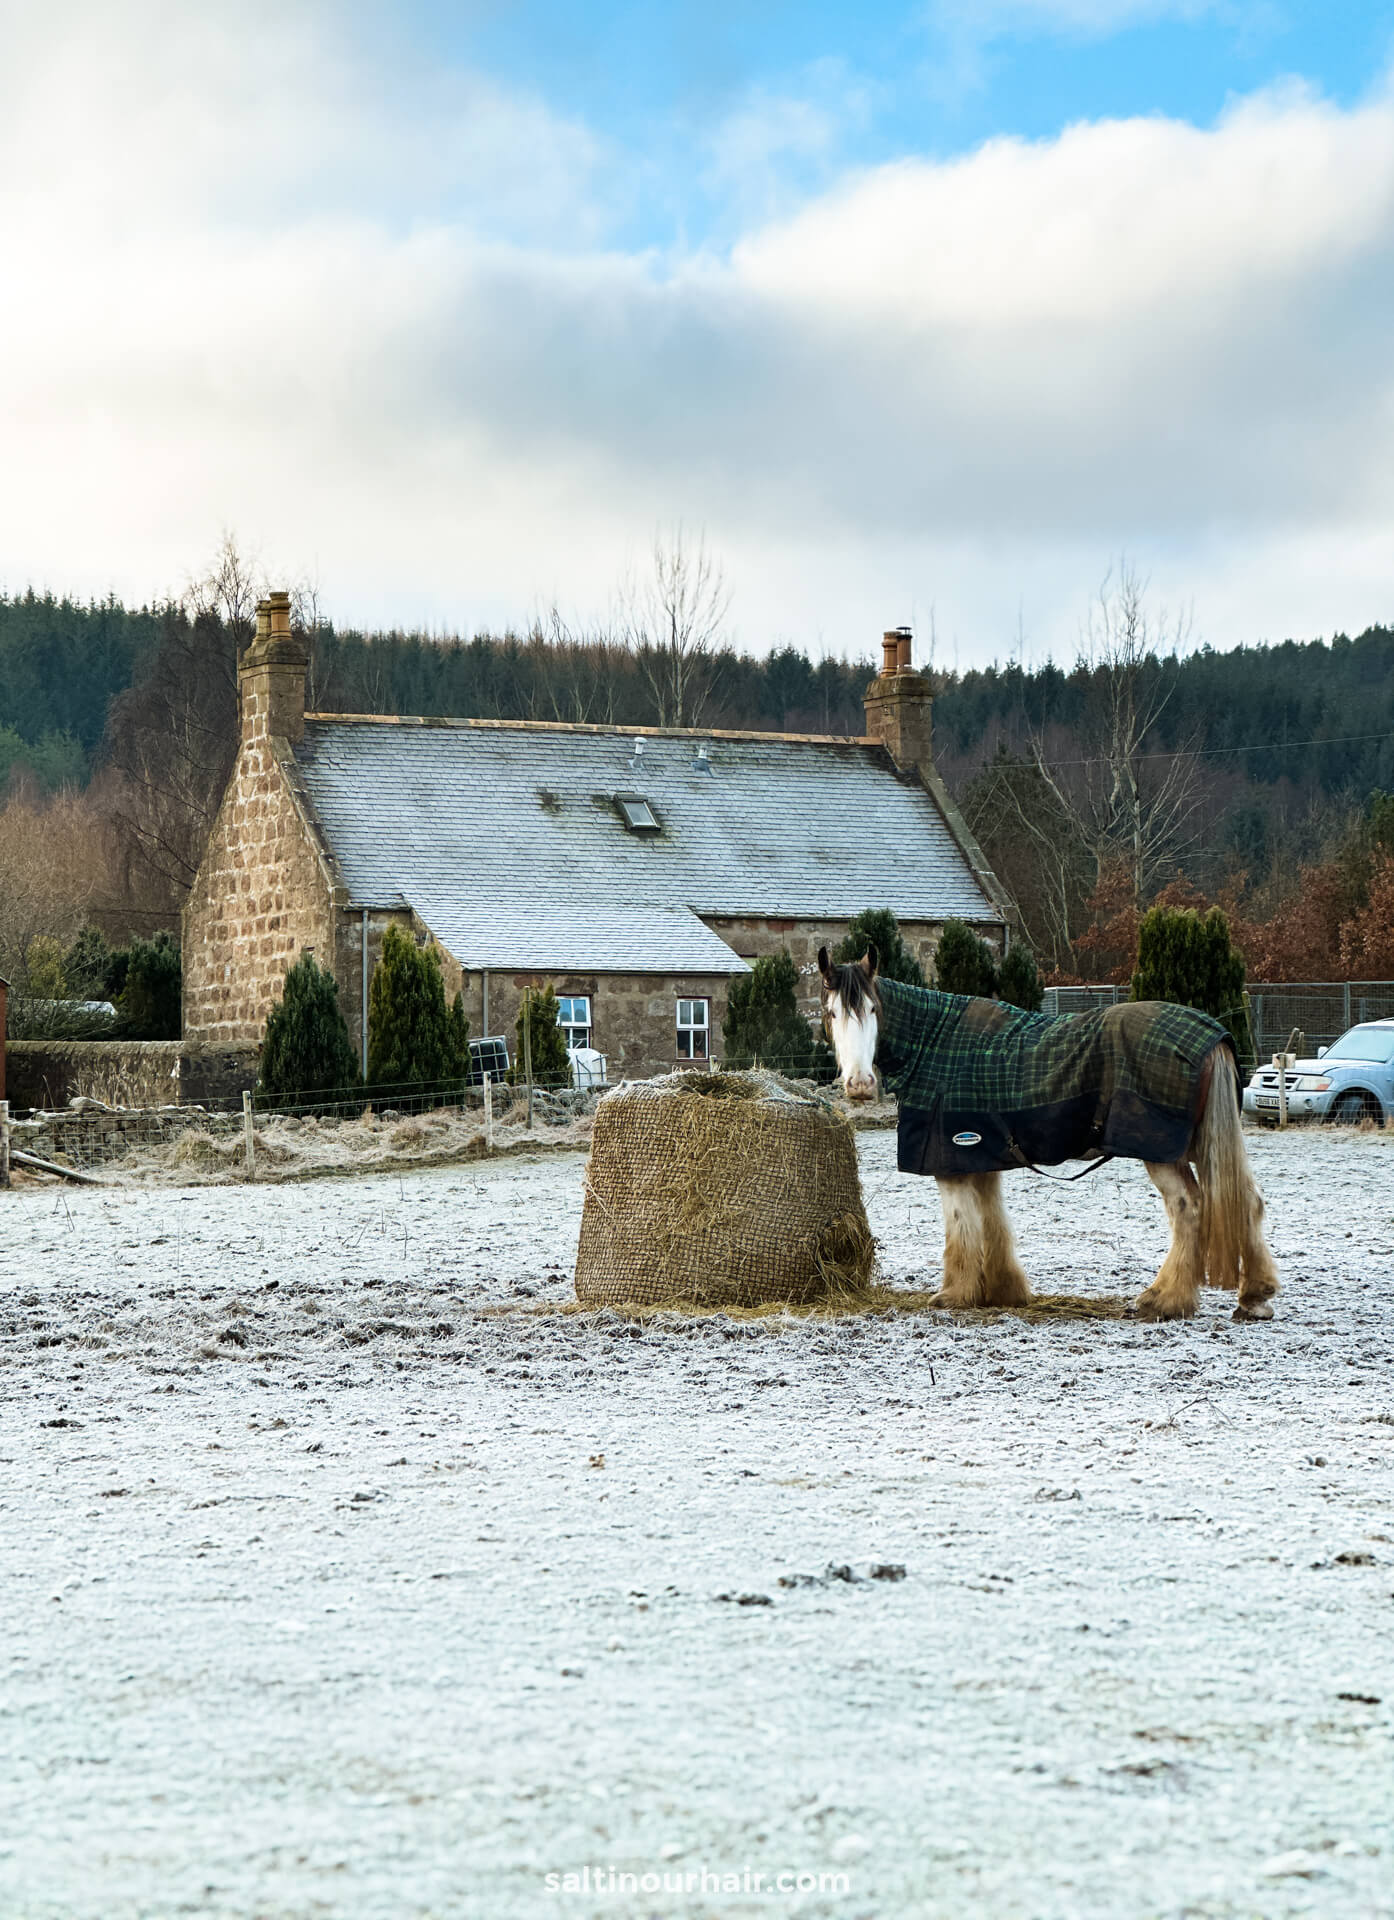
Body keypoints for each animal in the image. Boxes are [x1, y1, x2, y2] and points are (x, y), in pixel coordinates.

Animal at [817, 944, 1290, 1320]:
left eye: (873, 1010)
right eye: (832, 1013)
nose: (859, 1084)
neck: (938, 1044)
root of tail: (1211, 1036)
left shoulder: (950, 1160)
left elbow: (961, 1227)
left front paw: (955, 1293)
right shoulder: (981, 1155)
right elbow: (992, 1220)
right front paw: (1002, 1290)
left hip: (1161, 1150)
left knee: (1188, 1208)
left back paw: (1164, 1299)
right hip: (1197, 1144)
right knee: (1247, 1201)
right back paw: (1255, 1297)